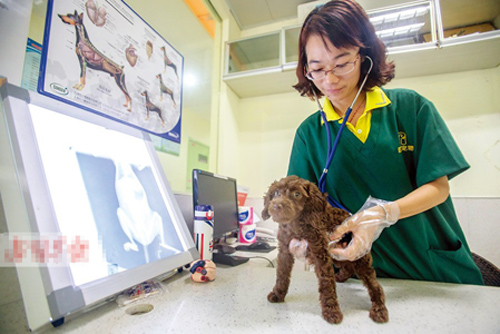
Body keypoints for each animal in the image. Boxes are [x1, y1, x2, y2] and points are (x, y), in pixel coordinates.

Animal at [264, 175, 388, 324]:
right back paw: (340, 277)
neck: (295, 225)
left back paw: (379, 309)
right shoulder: (284, 251)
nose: (276, 206)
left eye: (297, 194)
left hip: (358, 257)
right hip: (338, 253)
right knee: (347, 267)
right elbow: (282, 275)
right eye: (276, 193)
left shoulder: (320, 254)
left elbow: (326, 284)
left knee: (374, 284)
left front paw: (331, 311)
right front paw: (278, 293)